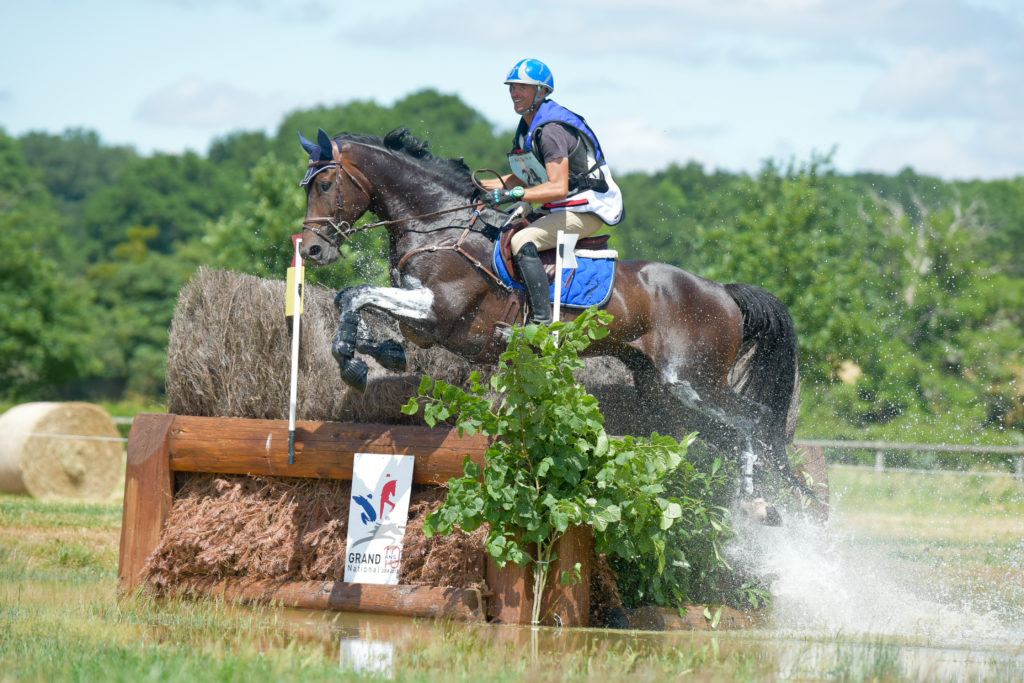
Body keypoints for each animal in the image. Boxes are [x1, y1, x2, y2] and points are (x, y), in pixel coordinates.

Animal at [296, 126, 806, 501]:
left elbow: (356, 293)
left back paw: (755, 502)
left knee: (756, 419)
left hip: (692, 380)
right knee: (727, 432)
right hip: (663, 389)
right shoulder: (423, 323)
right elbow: (353, 301)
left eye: (325, 183)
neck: (438, 223)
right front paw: (370, 353)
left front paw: (354, 362)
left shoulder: (439, 313)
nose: (313, 249)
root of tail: (722, 291)